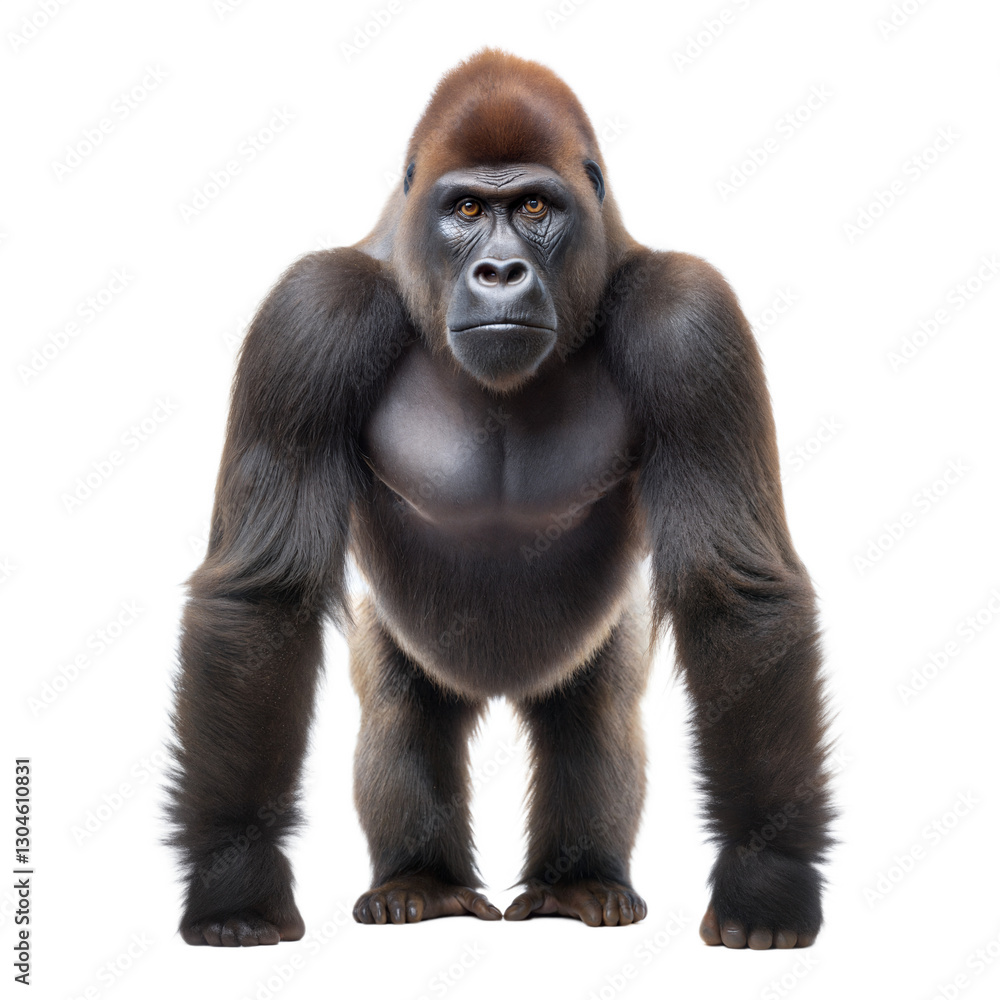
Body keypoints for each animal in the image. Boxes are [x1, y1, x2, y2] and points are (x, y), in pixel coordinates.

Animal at [167, 48, 833, 950]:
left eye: (535, 208)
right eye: (469, 209)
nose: (501, 271)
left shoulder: (690, 319)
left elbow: (734, 595)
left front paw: (768, 882)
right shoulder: (309, 315)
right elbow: (263, 596)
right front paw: (234, 882)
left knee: (597, 717)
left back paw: (578, 881)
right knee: (402, 716)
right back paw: (421, 880)